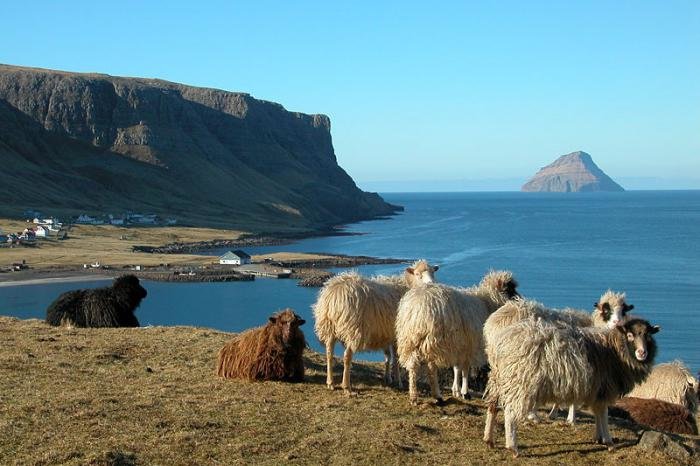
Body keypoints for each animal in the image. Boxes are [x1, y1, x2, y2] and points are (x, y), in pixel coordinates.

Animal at [313, 260, 439, 394]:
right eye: (418, 274)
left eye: (433, 272)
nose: (431, 284)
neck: (407, 286)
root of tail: (334, 295)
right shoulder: (397, 334)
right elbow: (396, 359)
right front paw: (398, 381)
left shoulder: (387, 334)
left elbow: (387, 356)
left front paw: (388, 378)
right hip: (353, 329)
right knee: (347, 356)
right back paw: (347, 387)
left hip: (328, 327)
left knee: (329, 353)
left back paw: (330, 383)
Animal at [395, 270, 519, 405]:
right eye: (510, 289)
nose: (519, 300)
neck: (486, 302)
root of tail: (416, 309)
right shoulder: (469, 345)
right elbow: (465, 369)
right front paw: (465, 392)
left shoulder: (458, 345)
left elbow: (457, 368)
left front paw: (456, 390)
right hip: (432, 340)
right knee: (431, 368)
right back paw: (437, 395)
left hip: (410, 340)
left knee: (413, 366)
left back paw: (414, 397)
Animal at [483, 317, 659, 457]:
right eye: (630, 335)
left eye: (648, 335)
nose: (642, 353)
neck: (614, 350)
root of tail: (499, 343)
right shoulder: (604, 388)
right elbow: (603, 414)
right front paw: (609, 442)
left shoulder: (596, 390)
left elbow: (598, 413)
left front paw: (598, 437)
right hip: (520, 383)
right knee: (510, 415)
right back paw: (513, 447)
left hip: (499, 379)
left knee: (492, 407)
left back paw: (488, 439)